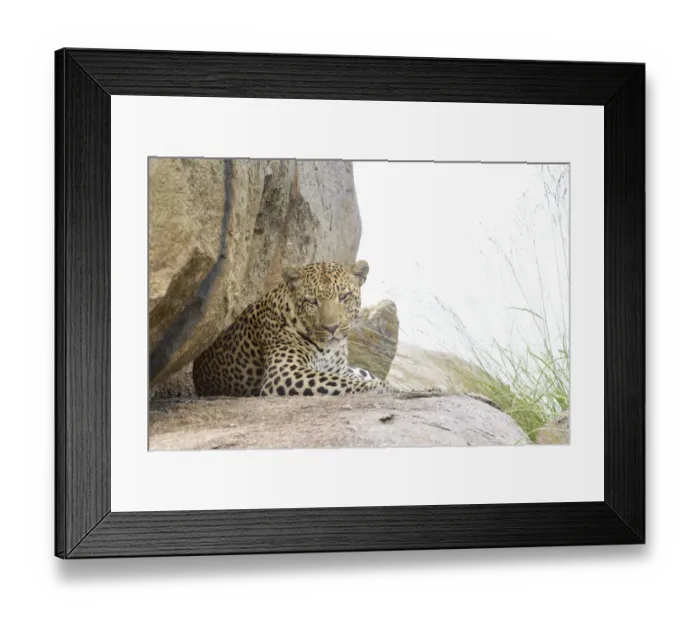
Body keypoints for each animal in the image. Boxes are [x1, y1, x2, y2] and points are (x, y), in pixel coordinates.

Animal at [192, 260, 395, 398]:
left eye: (344, 296)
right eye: (312, 301)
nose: (332, 328)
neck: (330, 349)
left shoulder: (340, 369)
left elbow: (347, 378)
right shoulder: (283, 372)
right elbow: (342, 382)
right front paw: (388, 388)